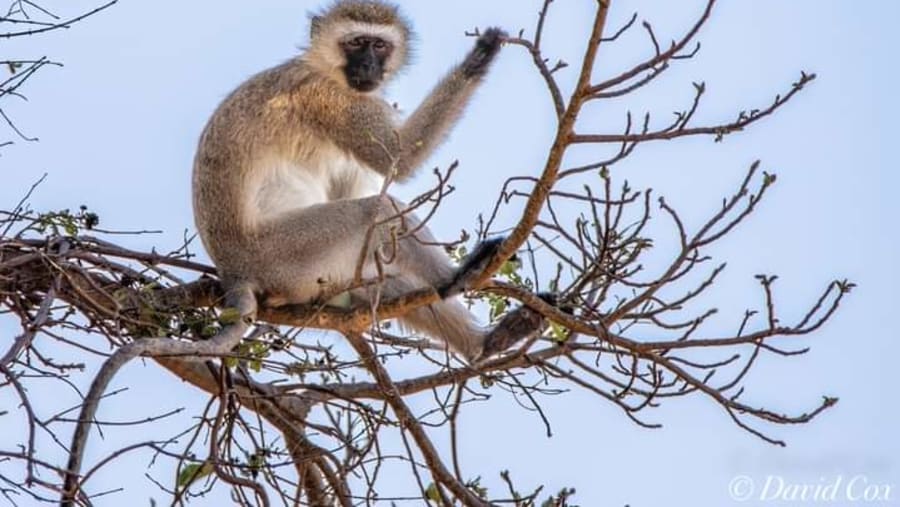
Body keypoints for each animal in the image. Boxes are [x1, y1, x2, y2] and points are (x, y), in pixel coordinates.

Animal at [192, 0, 547, 362]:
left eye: (379, 46)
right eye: (356, 43)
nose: (368, 66)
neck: (323, 67)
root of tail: (234, 271)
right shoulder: (328, 98)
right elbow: (399, 158)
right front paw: (479, 57)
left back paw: (486, 343)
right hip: (283, 252)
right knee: (377, 211)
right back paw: (457, 278)